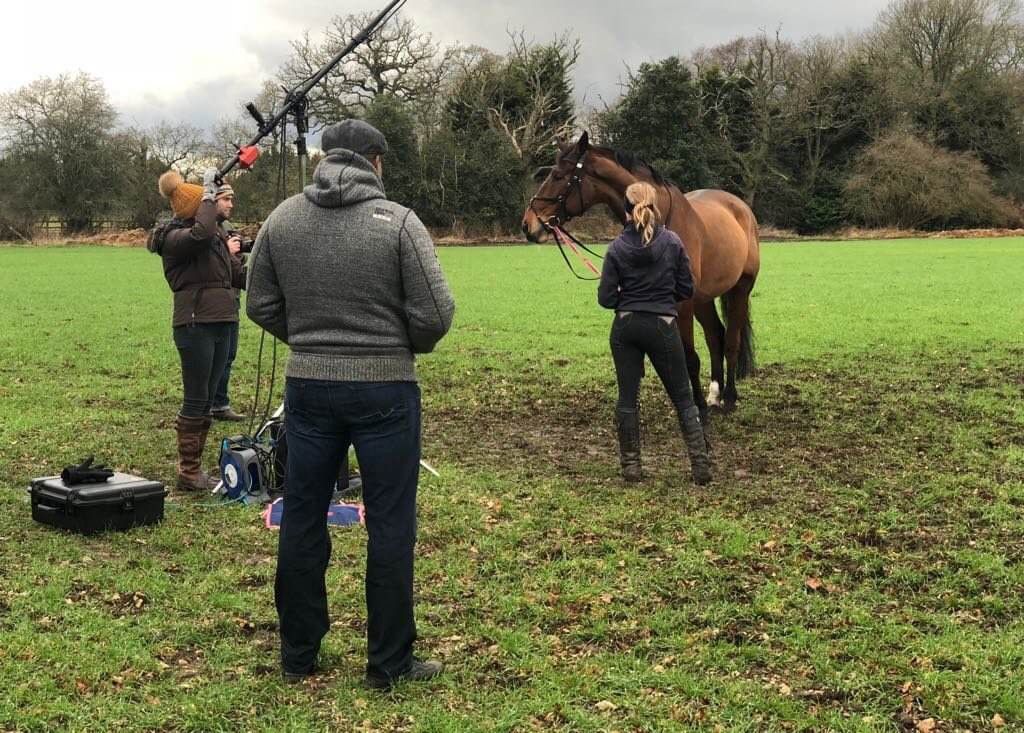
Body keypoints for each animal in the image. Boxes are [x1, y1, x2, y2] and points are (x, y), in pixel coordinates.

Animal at [522, 132, 760, 417]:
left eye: (558, 176)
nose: (528, 224)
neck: (657, 222)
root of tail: (741, 208)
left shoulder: (683, 304)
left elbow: (689, 358)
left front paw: (698, 410)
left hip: (739, 289)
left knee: (731, 341)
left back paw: (729, 398)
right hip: (703, 298)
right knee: (716, 336)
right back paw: (715, 395)